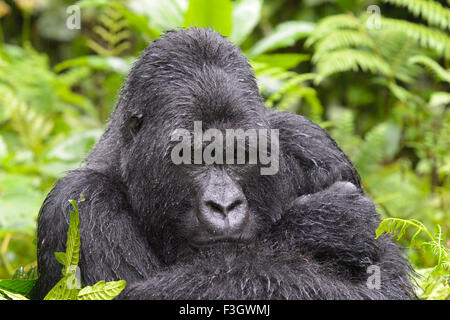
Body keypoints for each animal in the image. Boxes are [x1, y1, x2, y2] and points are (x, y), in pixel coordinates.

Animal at [34, 28, 414, 300]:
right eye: (192, 158)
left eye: (241, 157)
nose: (225, 205)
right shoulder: (81, 202)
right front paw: (322, 225)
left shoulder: (313, 143)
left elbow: (387, 281)